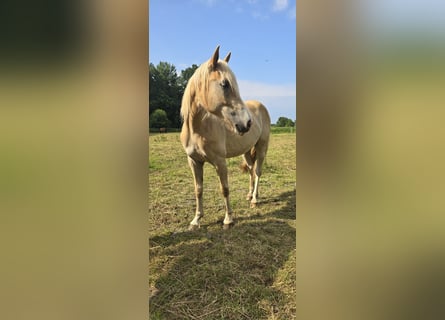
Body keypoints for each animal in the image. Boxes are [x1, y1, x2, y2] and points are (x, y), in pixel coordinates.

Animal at [180, 45, 270, 230]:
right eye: (225, 84)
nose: (247, 123)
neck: (197, 129)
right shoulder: (194, 161)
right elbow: (198, 190)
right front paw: (196, 220)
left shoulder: (220, 161)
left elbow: (225, 189)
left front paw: (228, 219)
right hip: (246, 151)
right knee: (251, 170)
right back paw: (250, 195)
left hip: (262, 147)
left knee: (258, 171)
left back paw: (255, 199)